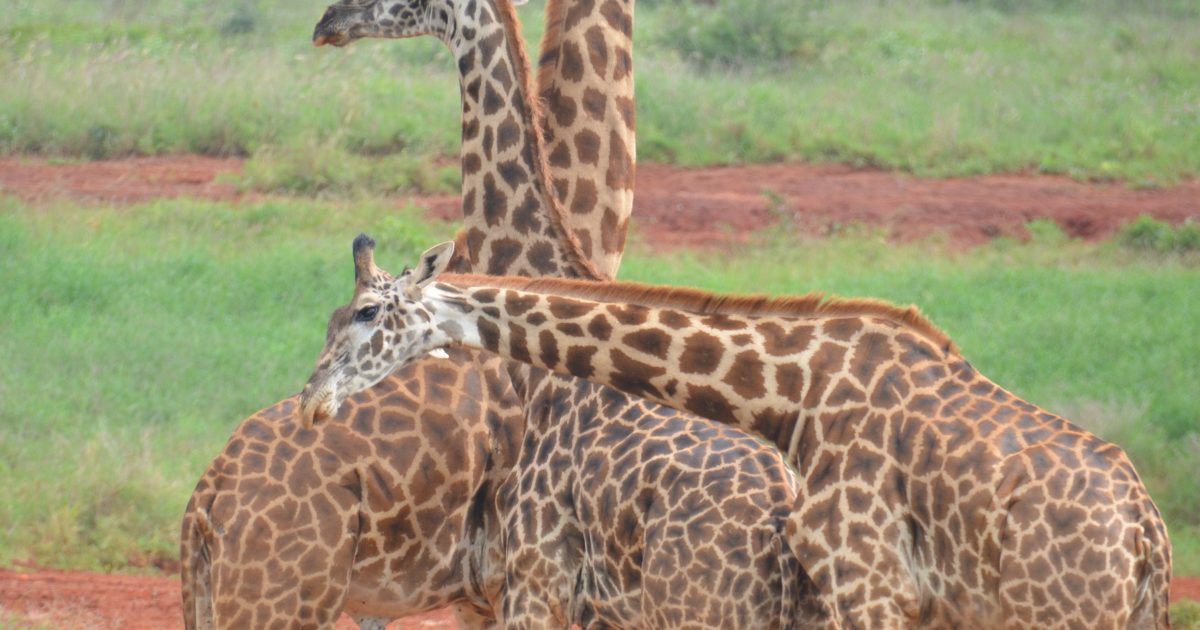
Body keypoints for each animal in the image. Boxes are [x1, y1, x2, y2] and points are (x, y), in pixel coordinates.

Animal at [301, 239, 1173, 630]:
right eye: (334, 313)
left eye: (369, 312)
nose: (311, 402)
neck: (795, 393)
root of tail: (1148, 537)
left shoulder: (869, 582)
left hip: (1060, 616)